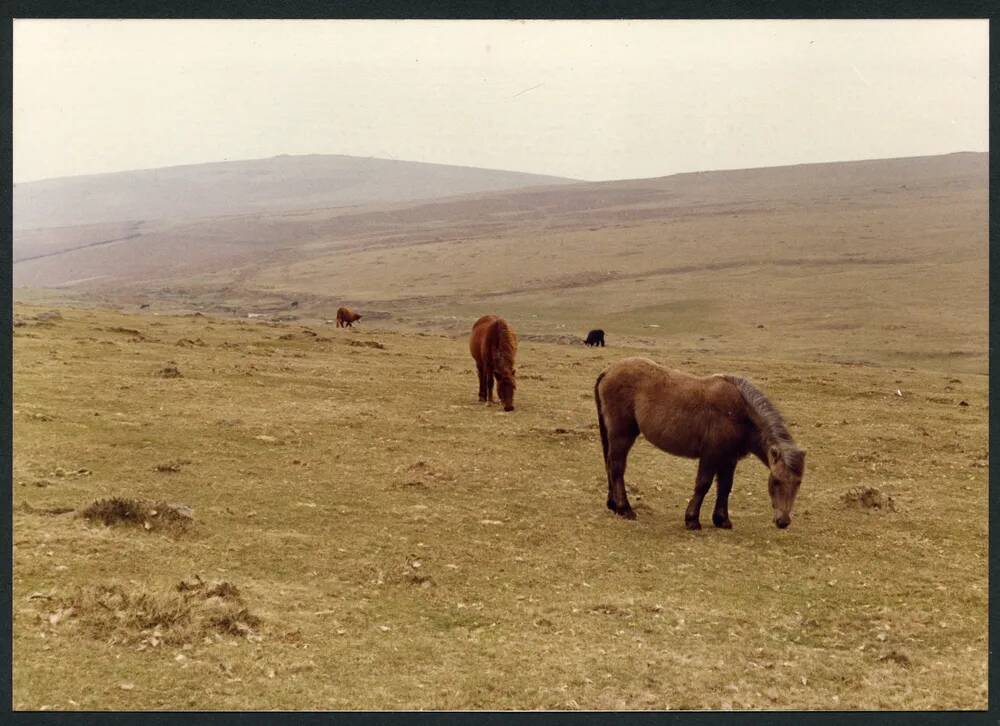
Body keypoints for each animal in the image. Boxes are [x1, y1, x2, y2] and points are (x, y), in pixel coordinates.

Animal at [592, 356, 804, 532]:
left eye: (798, 483)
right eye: (776, 480)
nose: (783, 521)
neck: (740, 414)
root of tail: (608, 371)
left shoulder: (729, 459)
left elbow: (725, 486)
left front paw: (722, 520)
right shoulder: (711, 455)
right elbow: (703, 484)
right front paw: (692, 520)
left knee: (610, 466)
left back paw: (613, 505)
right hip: (622, 435)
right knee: (617, 468)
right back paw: (625, 509)